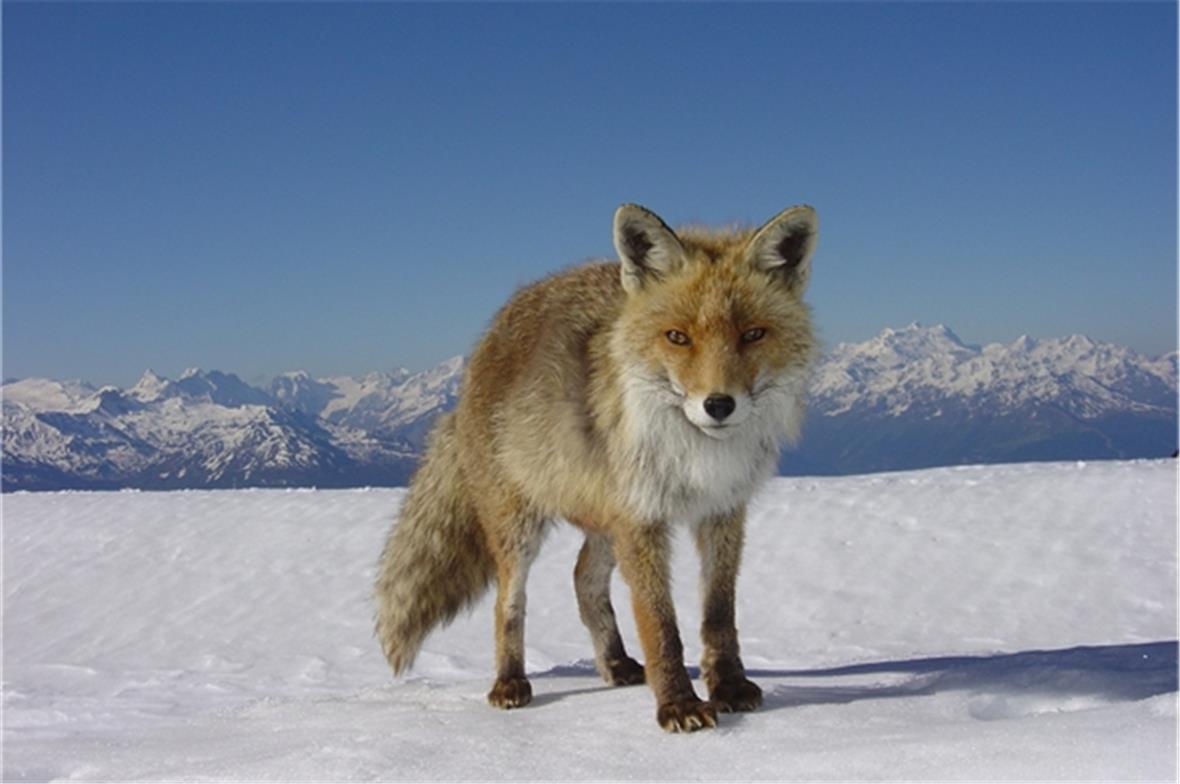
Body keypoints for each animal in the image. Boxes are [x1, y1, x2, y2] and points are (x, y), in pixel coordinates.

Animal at [374, 202, 818, 732]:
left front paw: (728, 687)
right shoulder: (642, 520)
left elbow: (718, 614)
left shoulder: (723, 511)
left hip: (606, 523)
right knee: (509, 603)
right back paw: (510, 682)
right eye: (677, 337)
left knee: (583, 579)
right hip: (523, 529)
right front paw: (679, 704)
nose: (718, 405)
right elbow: (660, 624)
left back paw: (616, 663)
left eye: (752, 335)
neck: (696, 457)